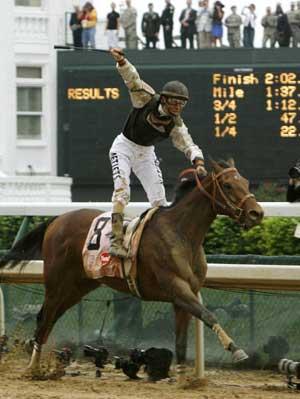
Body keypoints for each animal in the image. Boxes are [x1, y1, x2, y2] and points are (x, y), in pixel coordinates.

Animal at [0, 159, 262, 376]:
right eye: (228, 185)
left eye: (245, 182)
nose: (256, 212)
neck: (181, 234)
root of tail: (57, 219)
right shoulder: (176, 287)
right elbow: (208, 314)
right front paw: (236, 350)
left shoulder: (184, 296)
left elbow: (181, 339)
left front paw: (182, 377)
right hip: (56, 283)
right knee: (44, 318)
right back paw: (33, 367)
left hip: (78, 287)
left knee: (50, 317)